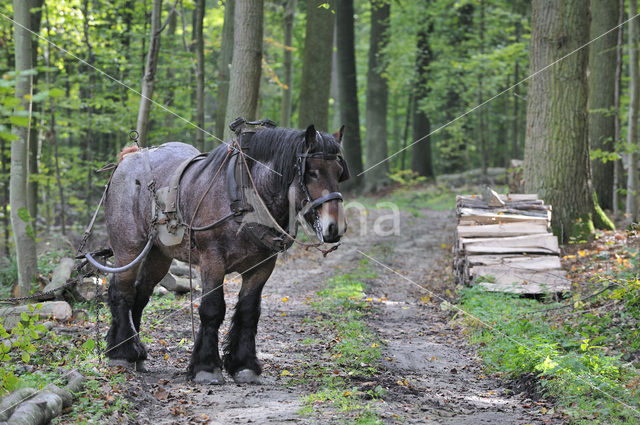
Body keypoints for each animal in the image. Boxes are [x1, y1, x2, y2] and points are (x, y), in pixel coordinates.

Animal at [101, 123, 350, 384]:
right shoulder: (212, 260)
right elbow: (212, 309)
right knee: (122, 291)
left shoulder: (262, 265)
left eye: (339, 172)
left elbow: (249, 311)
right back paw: (121, 353)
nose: (335, 227)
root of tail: (128, 158)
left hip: (158, 254)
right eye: (312, 172)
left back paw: (136, 353)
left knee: (140, 295)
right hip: (128, 247)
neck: (244, 197)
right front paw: (206, 367)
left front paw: (244, 365)